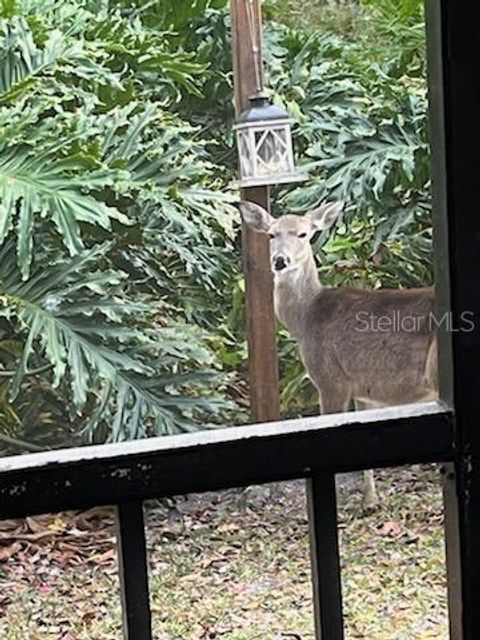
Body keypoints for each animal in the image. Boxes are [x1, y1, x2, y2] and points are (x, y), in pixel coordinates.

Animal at [238, 200, 436, 510]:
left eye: (303, 234)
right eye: (271, 234)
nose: (280, 261)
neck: (306, 318)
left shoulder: (331, 380)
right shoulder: (364, 389)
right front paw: (371, 501)